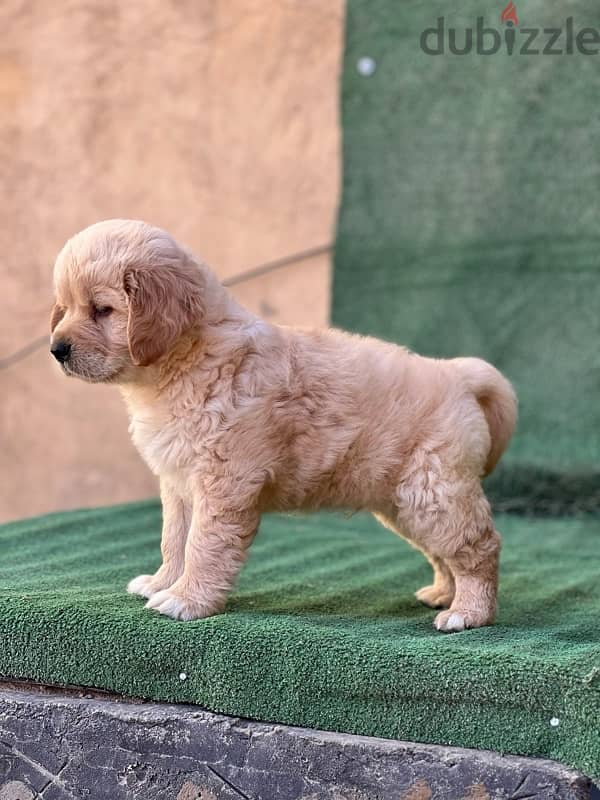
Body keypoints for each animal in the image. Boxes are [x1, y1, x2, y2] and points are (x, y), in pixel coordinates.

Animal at [50, 219, 516, 632]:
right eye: (66, 308)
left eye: (102, 310)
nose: (56, 349)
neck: (186, 359)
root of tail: (457, 373)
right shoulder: (179, 482)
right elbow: (174, 539)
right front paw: (163, 582)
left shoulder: (223, 483)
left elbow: (202, 544)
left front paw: (186, 599)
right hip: (405, 504)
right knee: (444, 552)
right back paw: (443, 593)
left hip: (433, 492)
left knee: (479, 546)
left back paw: (467, 613)